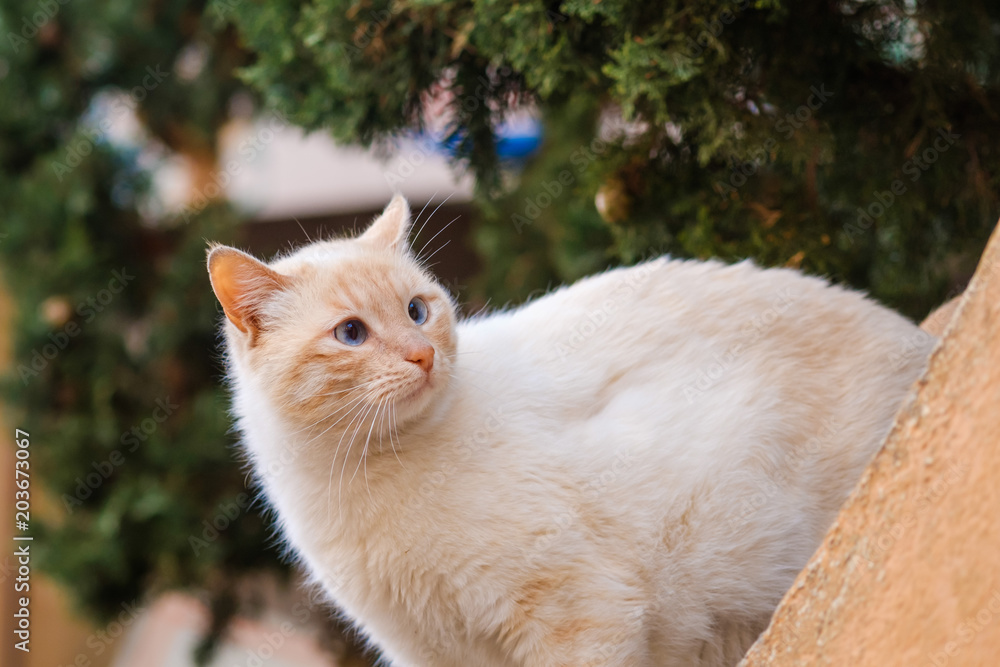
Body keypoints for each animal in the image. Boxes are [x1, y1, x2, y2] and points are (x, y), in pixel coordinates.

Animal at [207, 196, 932, 664]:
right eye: (352, 333)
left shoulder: (576, 611)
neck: (359, 475)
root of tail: (922, 337)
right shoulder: (435, 652)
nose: (423, 356)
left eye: (417, 311)